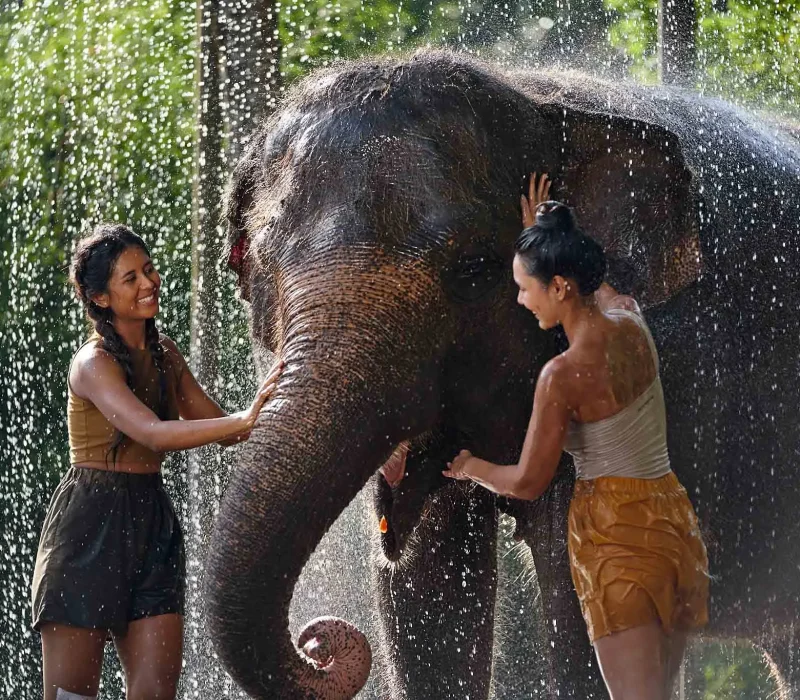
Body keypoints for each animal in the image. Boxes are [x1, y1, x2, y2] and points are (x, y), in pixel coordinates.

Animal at [205, 49, 800, 699]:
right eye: (256, 266)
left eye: (471, 270)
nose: (318, 644)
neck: (531, 95)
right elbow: (425, 593)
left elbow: (578, 596)